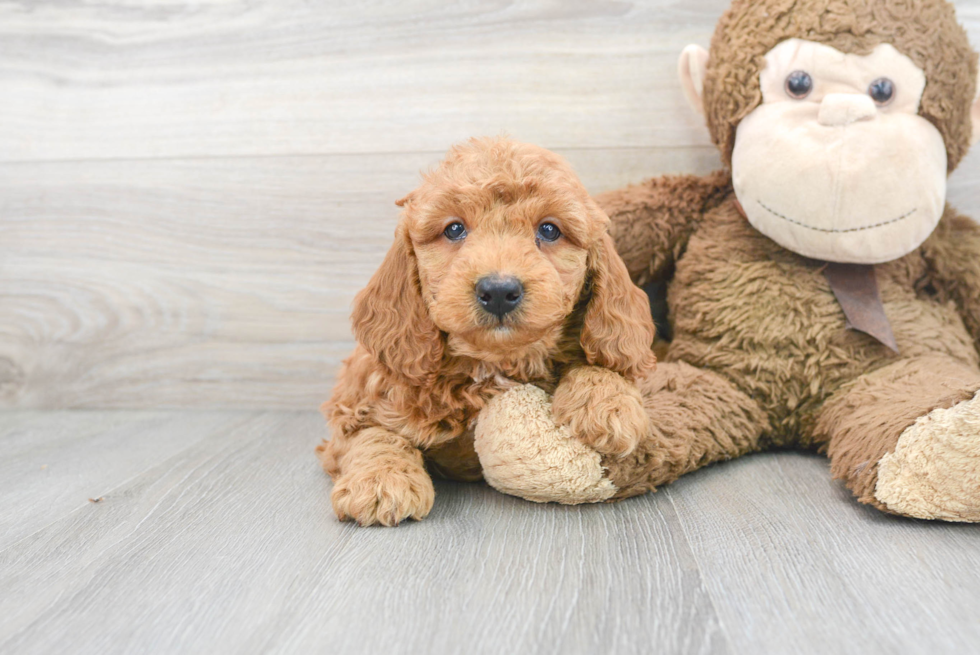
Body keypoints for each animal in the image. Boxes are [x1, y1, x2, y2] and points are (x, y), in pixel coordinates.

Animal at [318, 138, 656, 528]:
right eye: (454, 230)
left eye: (549, 230)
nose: (498, 290)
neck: (492, 362)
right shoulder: (359, 397)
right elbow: (372, 433)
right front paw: (381, 481)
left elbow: (607, 359)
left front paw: (607, 404)